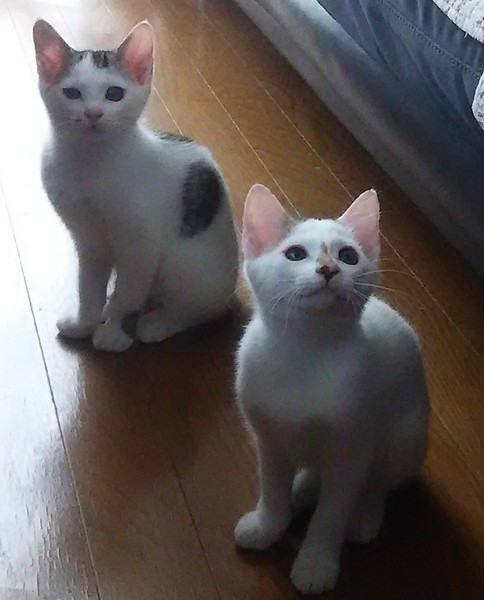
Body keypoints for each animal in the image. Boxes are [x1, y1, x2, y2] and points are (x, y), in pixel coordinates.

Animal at [32, 19, 238, 352]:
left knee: (204, 308)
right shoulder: (88, 239)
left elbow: (129, 295)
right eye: (72, 93)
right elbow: (88, 287)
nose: (93, 113)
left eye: (115, 93)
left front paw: (116, 334)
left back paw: (158, 322)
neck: (90, 164)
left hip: (189, 267)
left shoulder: (142, 245)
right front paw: (84, 322)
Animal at [234, 184, 429, 594]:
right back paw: (300, 490)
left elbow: (331, 516)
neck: (305, 351)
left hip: (407, 437)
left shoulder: (351, 454)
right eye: (295, 254)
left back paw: (365, 515)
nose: (329, 268)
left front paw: (315, 564)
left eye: (348, 256)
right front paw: (267, 526)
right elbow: (272, 491)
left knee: (380, 482)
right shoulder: (269, 442)